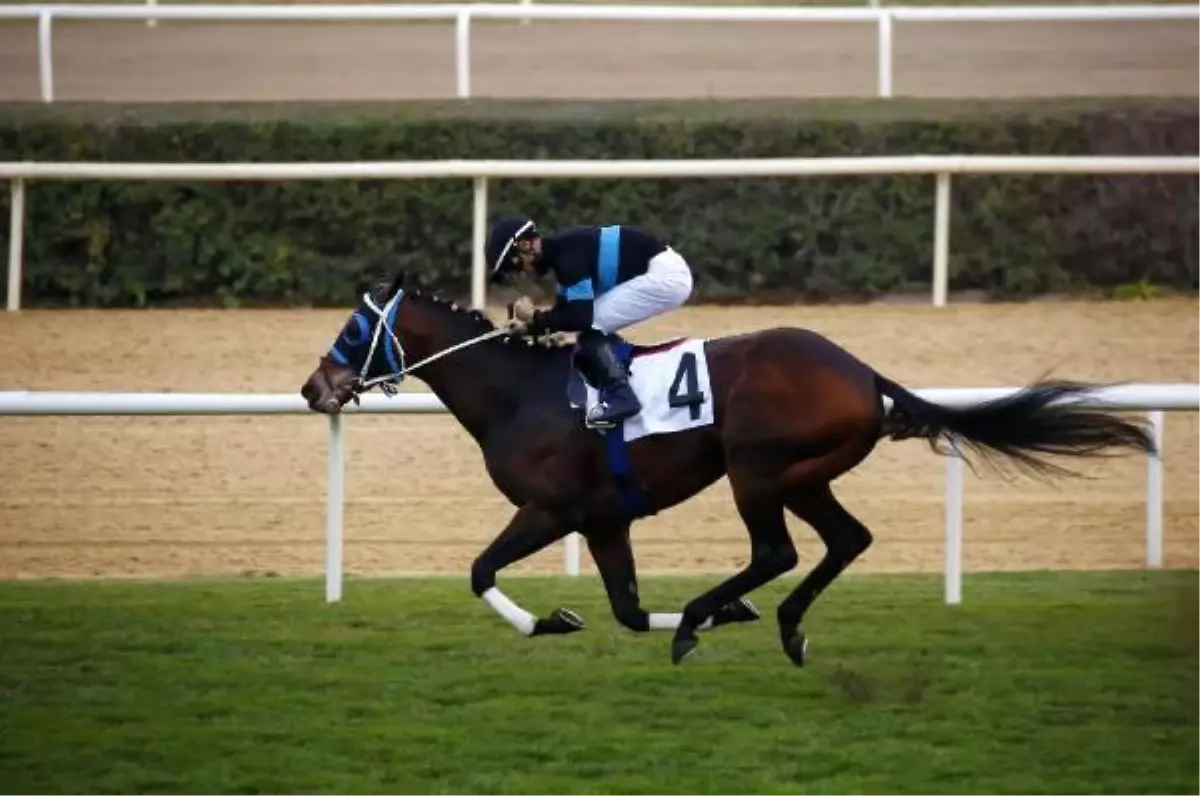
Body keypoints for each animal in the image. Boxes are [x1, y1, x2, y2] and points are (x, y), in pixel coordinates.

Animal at [297, 273, 1152, 667]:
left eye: (352, 333)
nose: (313, 389)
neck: (522, 392)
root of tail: (862, 371)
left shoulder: (552, 510)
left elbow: (480, 571)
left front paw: (552, 621)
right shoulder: (605, 520)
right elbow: (627, 609)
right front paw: (661, 618)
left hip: (755, 468)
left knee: (778, 550)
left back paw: (717, 614)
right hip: (806, 474)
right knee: (846, 540)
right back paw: (777, 624)